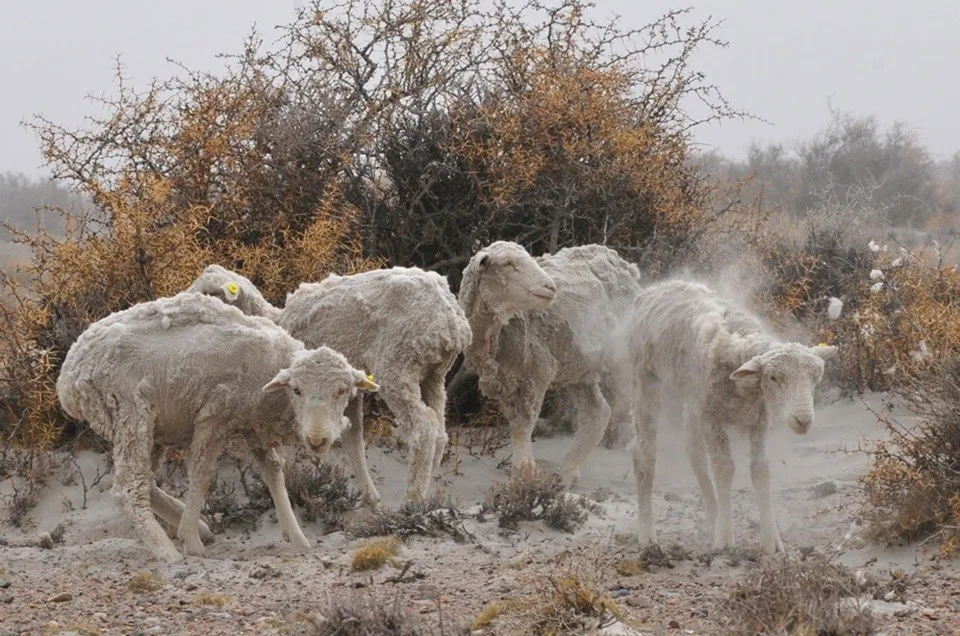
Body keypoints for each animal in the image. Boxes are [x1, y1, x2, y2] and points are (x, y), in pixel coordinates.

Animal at [56, 292, 379, 563]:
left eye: (342, 391)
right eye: (297, 390)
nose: (317, 439)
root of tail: (69, 374)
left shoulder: (255, 425)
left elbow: (274, 476)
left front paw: (297, 537)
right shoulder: (214, 416)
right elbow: (201, 475)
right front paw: (189, 539)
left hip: (152, 427)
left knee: (145, 482)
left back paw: (198, 526)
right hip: (130, 413)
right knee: (128, 489)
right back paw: (167, 551)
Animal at [187, 266, 472, 506]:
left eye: (209, 293)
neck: (274, 319)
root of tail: (450, 318)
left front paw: (288, 477)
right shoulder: (349, 390)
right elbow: (353, 438)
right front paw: (369, 494)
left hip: (398, 365)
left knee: (424, 427)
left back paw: (411, 501)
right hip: (434, 374)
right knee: (439, 428)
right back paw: (427, 492)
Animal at [458, 241, 642, 485]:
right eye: (507, 264)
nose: (550, 287)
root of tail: (618, 260)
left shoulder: (537, 371)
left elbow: (523, 426)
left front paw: (525, 476)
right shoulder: (504, 381)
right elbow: (515, 425)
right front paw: (523, 474)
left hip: (622, 356)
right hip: (579, 365)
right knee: (598, 412)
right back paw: (569, 473)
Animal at [625, 279, 837, 554]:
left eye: (815, 378)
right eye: (773, 377)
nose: (803, 420)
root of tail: (658, 287)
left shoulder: (758, 420)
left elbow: (760, 471)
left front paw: (771, 540)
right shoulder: (712, 418)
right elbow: (724, 469)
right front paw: (725, 539)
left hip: (693, 399)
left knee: (694, 454)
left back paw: (712, 517)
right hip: (645, 378)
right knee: (644, 455)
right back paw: (647, 533)